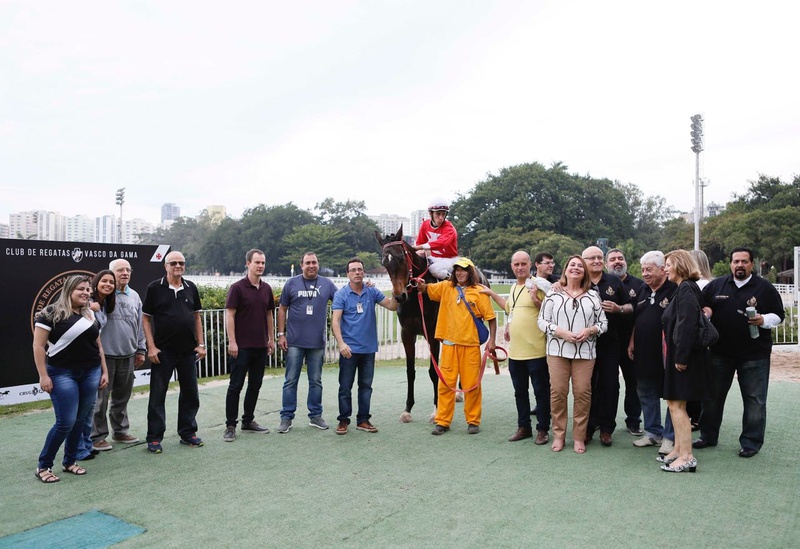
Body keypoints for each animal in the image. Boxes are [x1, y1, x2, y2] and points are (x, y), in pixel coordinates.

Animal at [376, 225, 440, 422]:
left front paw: (437, 409)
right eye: (384, 262)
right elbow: (410, 372)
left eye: (401, 257)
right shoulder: (407, 334)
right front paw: (407, 409)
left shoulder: (432, 333)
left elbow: (433, 371)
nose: (399, 296)